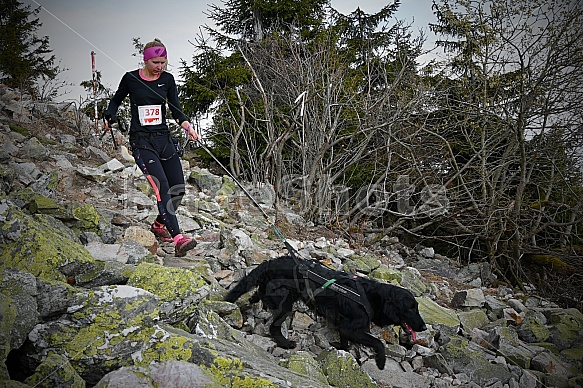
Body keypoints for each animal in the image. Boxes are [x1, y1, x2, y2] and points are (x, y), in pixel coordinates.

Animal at [226, 256, 426, 368]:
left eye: (416, 307)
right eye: (411, 308)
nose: (424, 327)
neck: (373, 297)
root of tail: (271, 263)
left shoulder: (344, 326)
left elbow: (345, 343)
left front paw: (342, 351)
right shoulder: (351, 327)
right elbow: (378, 343)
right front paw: (381, 362)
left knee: (259, 295)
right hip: (285, 303)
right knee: (274, 327)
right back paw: (285, 343)